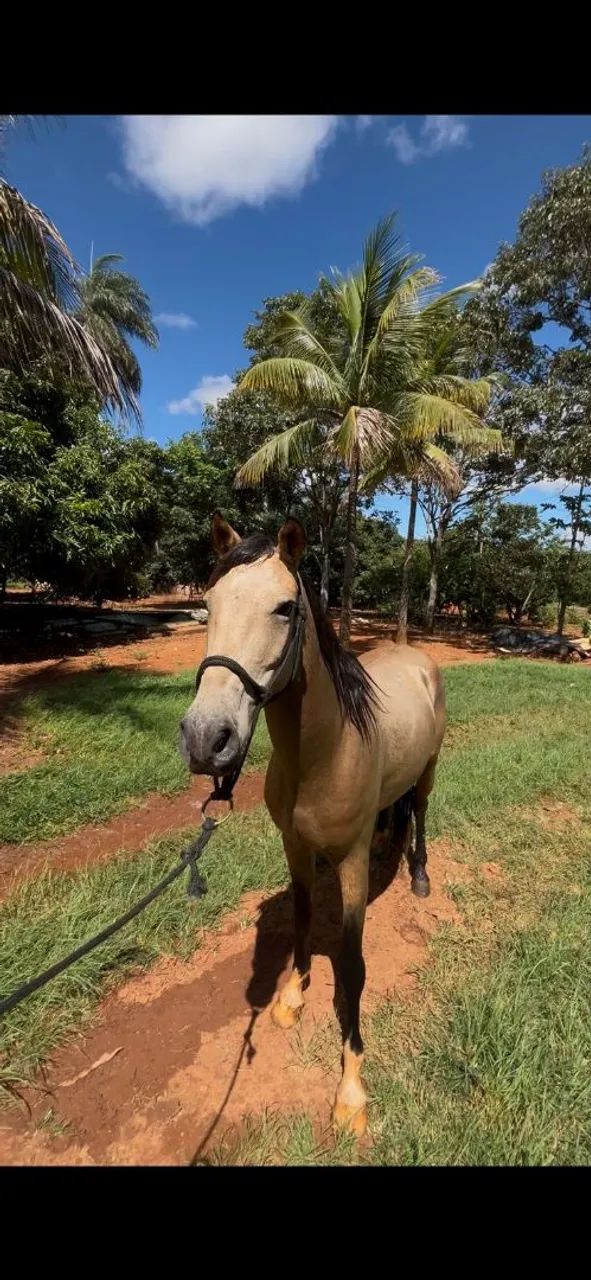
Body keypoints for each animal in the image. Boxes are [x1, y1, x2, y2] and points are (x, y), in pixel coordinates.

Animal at [180, 512, 446, 1137]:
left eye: (284, 608)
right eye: (208, 602)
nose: (206, 738)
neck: (327, 751)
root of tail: (415, 657)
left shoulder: (346, 864)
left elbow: (352, 966)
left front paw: (351, 1089)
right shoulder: (295, 848)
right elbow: (301, 920)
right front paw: (292, 998)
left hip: (429, 770)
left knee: (420, 810)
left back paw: (419, 874)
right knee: (396, 814)